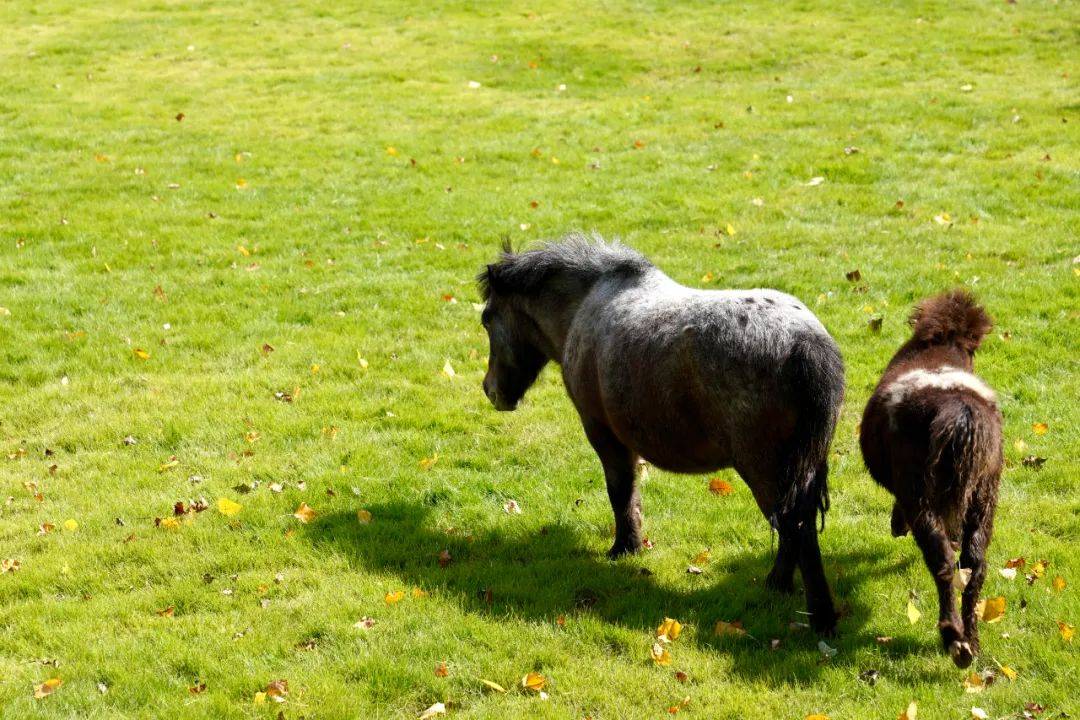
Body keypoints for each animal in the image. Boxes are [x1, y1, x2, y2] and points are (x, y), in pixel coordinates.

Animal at [859, 291, 1002, 669]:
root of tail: (958, 412)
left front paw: (897, 525)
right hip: (984, 491)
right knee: (974, 563)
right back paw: (972, 642)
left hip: (920, 492)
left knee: (943, 561)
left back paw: (954, 640)